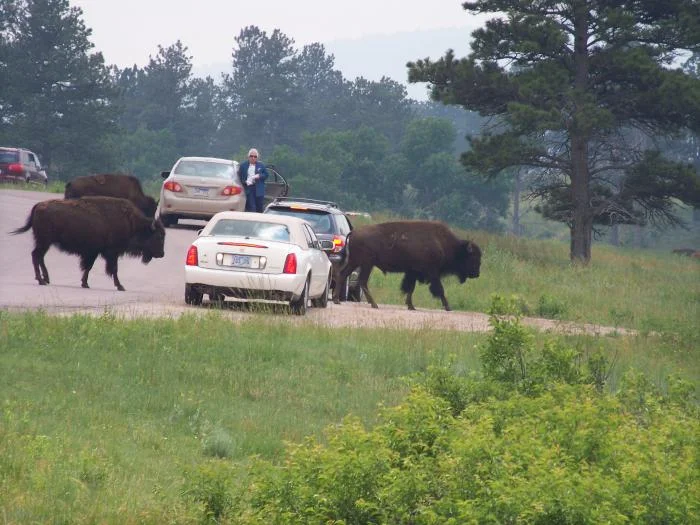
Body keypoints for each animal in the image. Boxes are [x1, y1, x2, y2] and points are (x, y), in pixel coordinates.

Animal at [10, 195, 165, 288]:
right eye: (159, 236)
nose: (162, 254)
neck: (131, 222)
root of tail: (39, 205)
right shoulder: (111, 253)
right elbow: (113, 269)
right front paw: (120, 286)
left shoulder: (94, 252)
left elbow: (88, 267)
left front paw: (85, 283)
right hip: (44, 241)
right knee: (36, 256)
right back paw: (41, 280)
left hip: (45, 242)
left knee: (39, 257)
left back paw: (46, 279)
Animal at [334, 219, 482, 310]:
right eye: (473, 257)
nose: (477, 274)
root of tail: (353, 232)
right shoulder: (432, 273)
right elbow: (440, 289)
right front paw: (448, 307)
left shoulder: (413, 273)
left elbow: (410, 288)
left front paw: (411, 306)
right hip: (366, 264)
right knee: (362, 281)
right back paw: (374, 304)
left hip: (356, 263)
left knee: (343, 275)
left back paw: (337, 300)